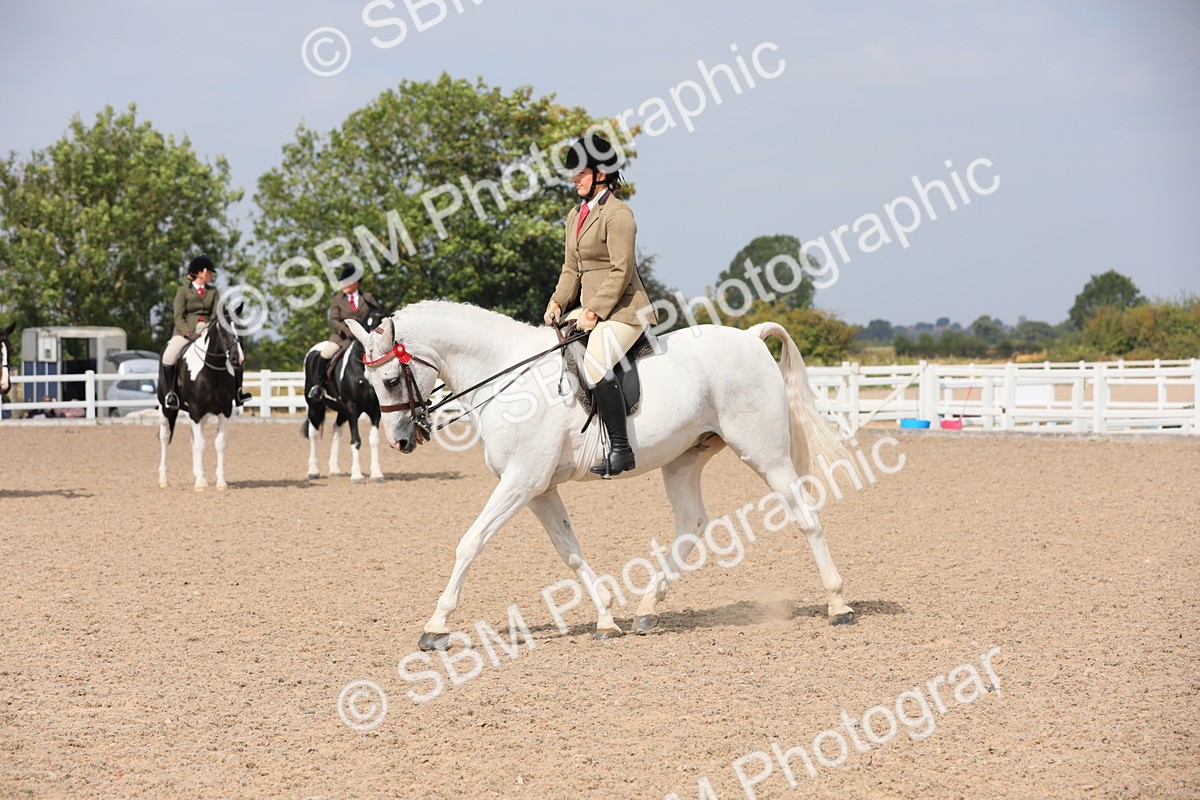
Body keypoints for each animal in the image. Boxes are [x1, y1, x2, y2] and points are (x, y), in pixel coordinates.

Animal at [156, 306, 244, 491]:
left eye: (241, 328)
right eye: (223, 329)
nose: (237, 359)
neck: (212, 370)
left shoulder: (225, 410)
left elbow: (219, 443)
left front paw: (220, 482)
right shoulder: (195, 410)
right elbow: (200, 444)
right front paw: (199, 485)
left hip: (201, 415)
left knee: (193, 439)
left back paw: (200, 476)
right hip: (166, 409)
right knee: (165, 437)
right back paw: (164, 480)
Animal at [301, 308, 388, 483]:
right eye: (368, 325)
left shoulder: (375, 411)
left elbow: (374, 440)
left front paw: (376, 474)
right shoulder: (352, 408)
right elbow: (356, 440)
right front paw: (357, 475)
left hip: (341, 410)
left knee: (336, 430)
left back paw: (335, 469)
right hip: (315, 405)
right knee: (313, 433)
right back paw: (313, 471)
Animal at [347, 301, 856, 651]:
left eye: (390, 380)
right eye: (368, 382)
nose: (401, 441)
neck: (507, 378)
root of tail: (750, 336)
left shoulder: (520, 482)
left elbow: (470, 542)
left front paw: (435, 627)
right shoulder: (539, 489)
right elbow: (570, 552)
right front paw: (607, 619)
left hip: (765, 453)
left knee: (804, 515)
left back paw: (838, 605)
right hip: (683, 459)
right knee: (692, 523)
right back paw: (647, 610)